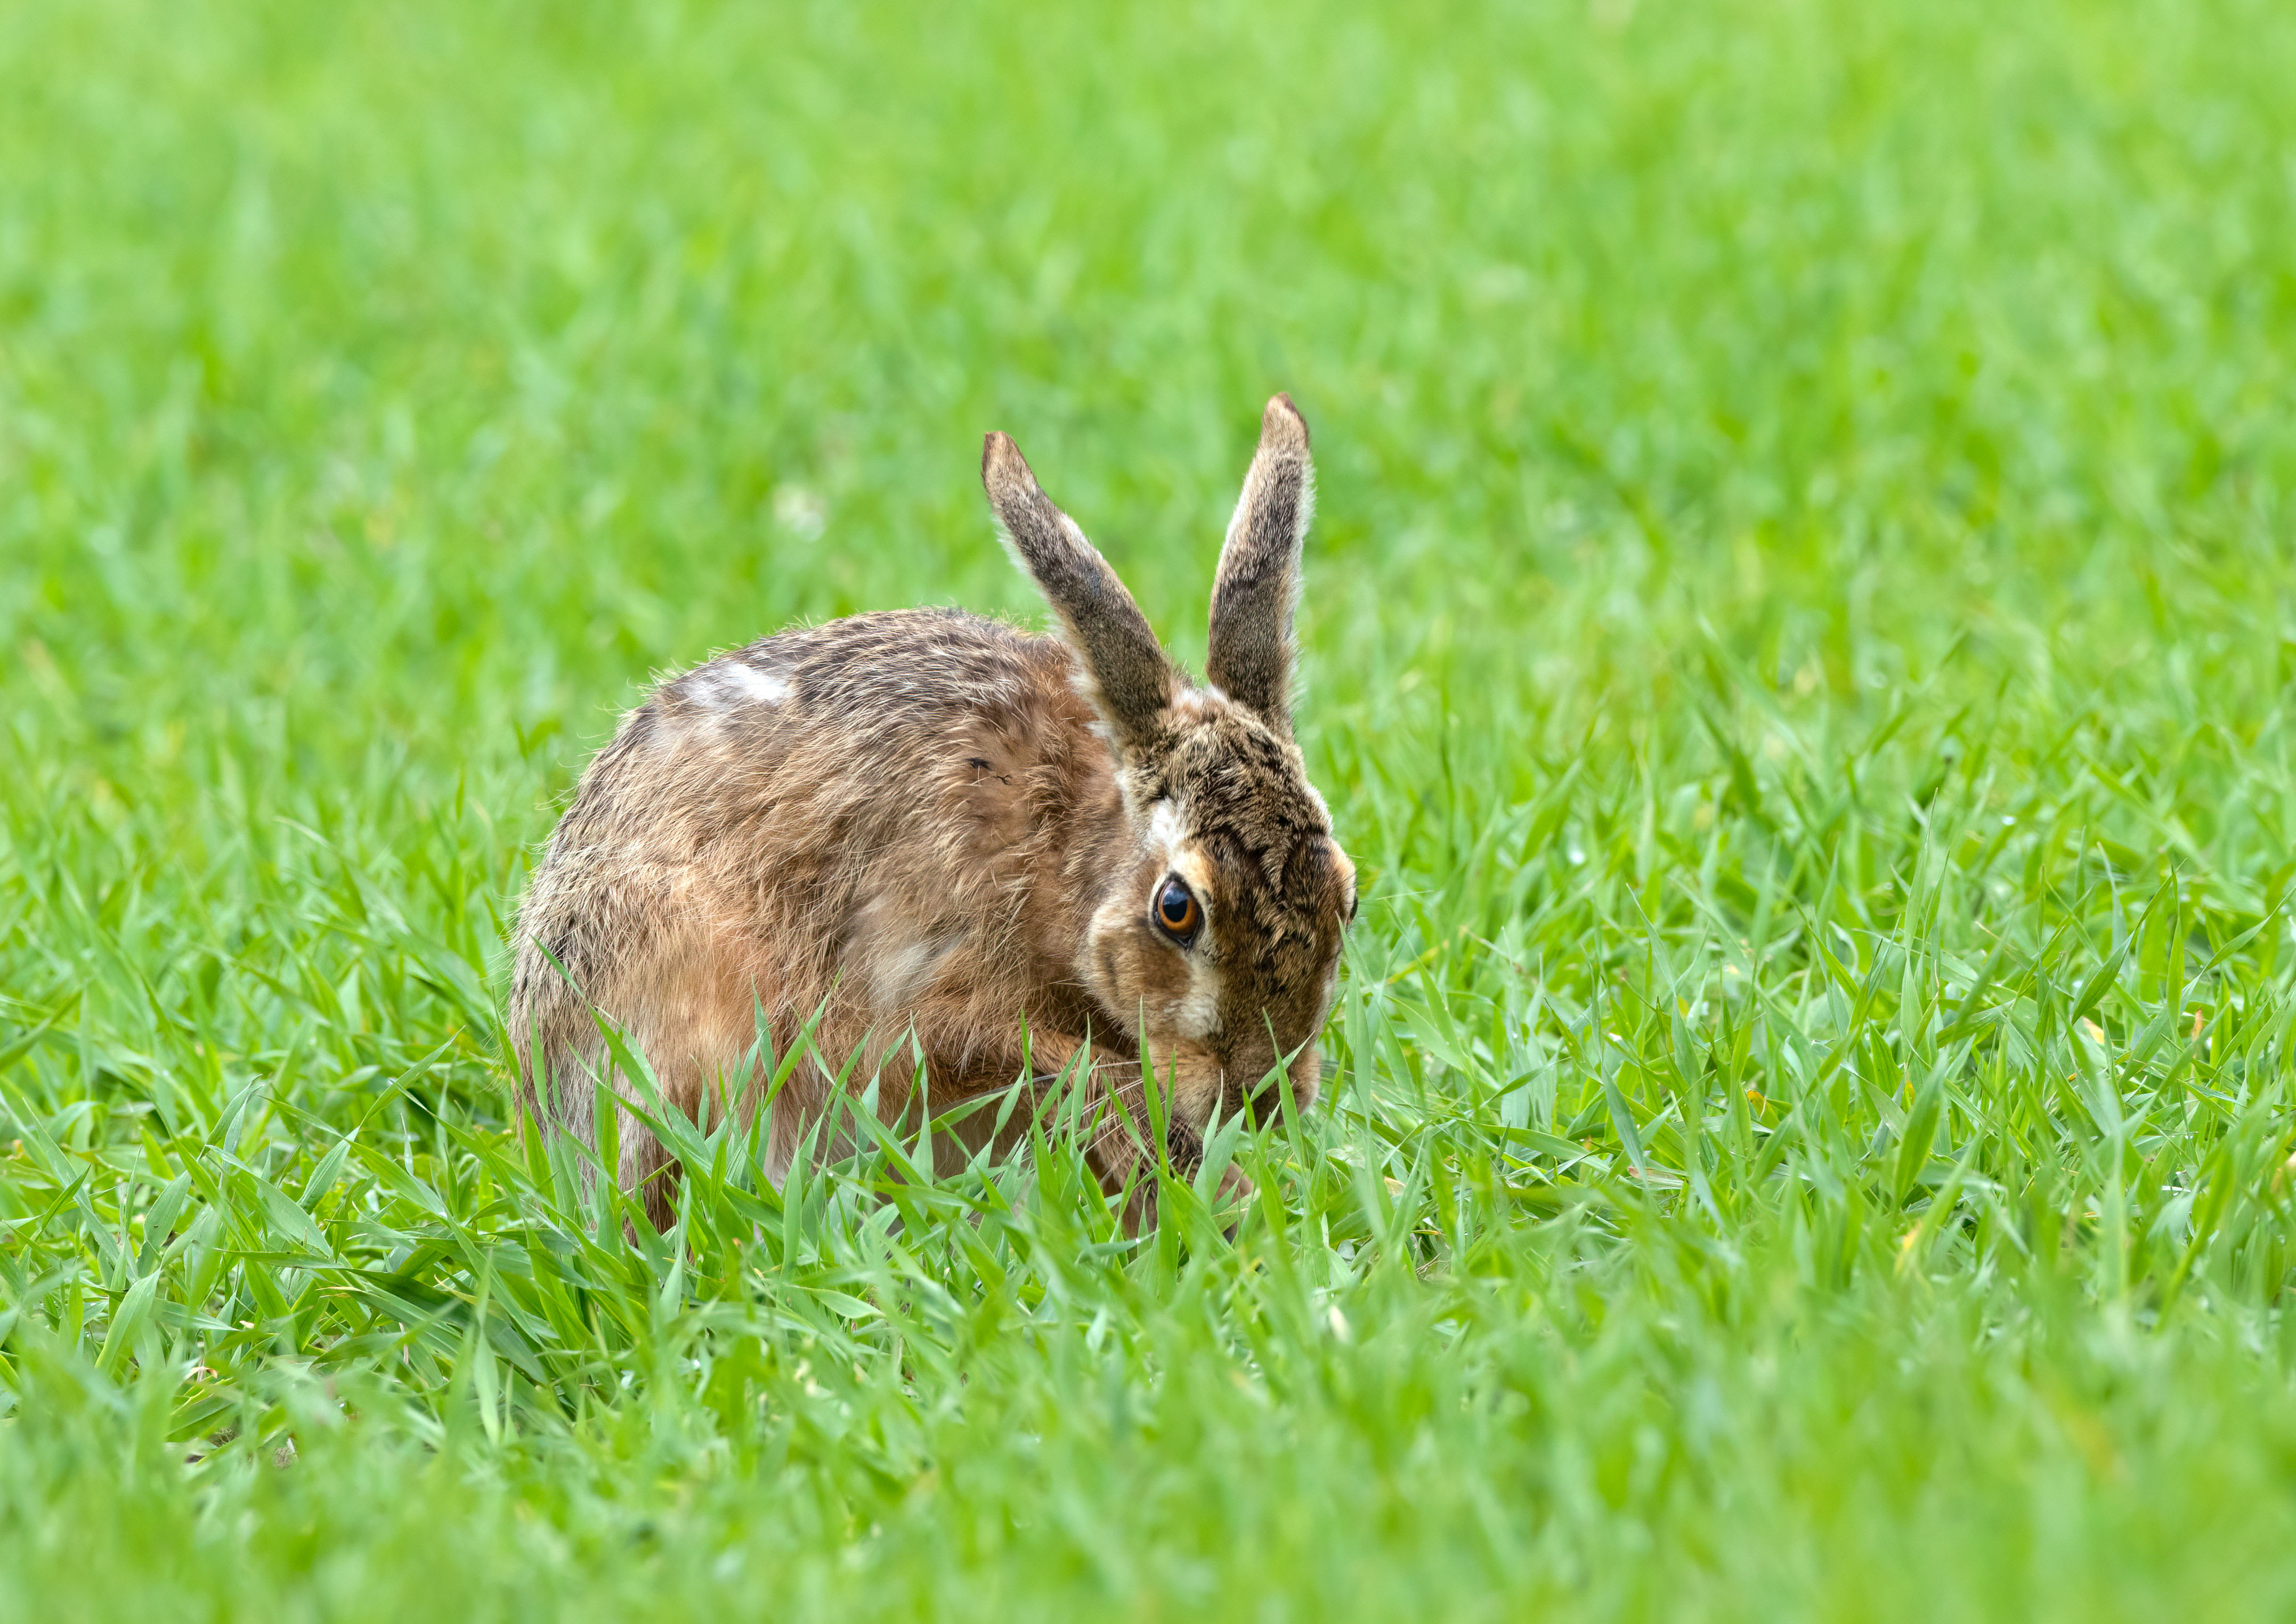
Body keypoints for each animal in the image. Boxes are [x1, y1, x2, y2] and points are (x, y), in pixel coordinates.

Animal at [506, 394, 1357, 1231]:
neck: (1064, 858)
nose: (1265, 1096)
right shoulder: (919, 1003)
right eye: (1176, 909)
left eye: (1346, 896)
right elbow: (1054, 1066)